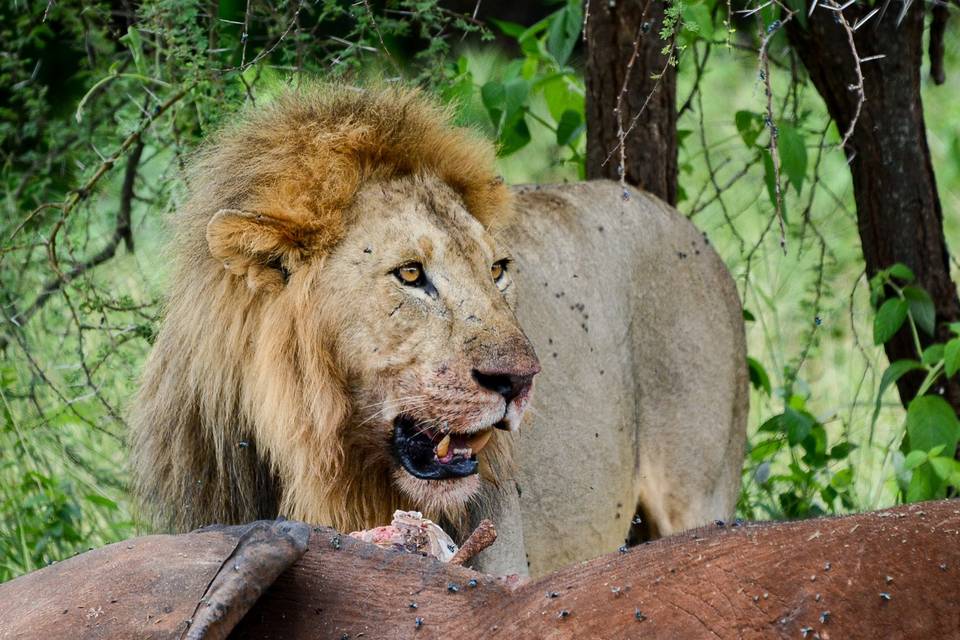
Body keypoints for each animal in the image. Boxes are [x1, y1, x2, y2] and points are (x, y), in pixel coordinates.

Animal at [131, 82, 748, 576]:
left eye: (496, 269)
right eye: (410, 274)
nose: (519, 381)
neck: (329, 469)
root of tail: (688, 228)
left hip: (697, 491)